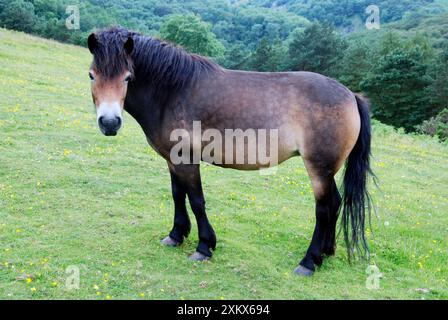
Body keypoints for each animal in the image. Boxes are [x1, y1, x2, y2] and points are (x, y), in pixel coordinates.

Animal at [86, 28, 372, 276]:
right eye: (91, 75)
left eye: (127, 77)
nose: (109, 123)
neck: (172, 90)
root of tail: (350, 95)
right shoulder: (173, 159)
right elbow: (178, 195)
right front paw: (176, 235)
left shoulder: (187, 160)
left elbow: (196, 200)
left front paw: (204, 247)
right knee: (335, 203)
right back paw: (327, 252)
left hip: (318, 169)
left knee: (324, 208)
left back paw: (309, 261)